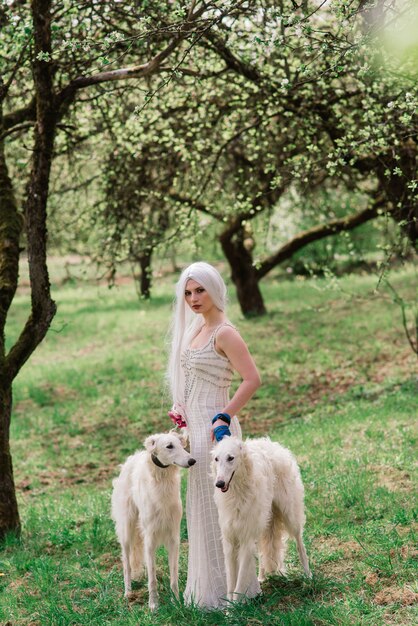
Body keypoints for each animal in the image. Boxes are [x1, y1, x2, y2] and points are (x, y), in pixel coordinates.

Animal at [111, 432, 196, 608]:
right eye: (169, 446)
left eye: (181, 445)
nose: (192, 461)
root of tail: (132, 458)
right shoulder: (149, 539)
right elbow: (152, 579)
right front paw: (153, 604)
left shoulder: (174, 538)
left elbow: (174, 577)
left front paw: (176, 602)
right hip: (127, 530)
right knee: (126, 564)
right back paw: (128, 592)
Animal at [212, 434, 310, 600]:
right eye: (216, 459)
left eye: (231, 458)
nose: (219, 483)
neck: (237, 494)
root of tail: (274, 445)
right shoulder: (230, 540)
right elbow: (231, 583)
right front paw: (228, 606)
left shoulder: (246, 540)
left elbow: (239, 583)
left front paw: (234, 606)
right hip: (263, 523)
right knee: (264, 551)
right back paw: (261, 577)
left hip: (290, 515)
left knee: (300, 544)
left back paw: (309, 576)